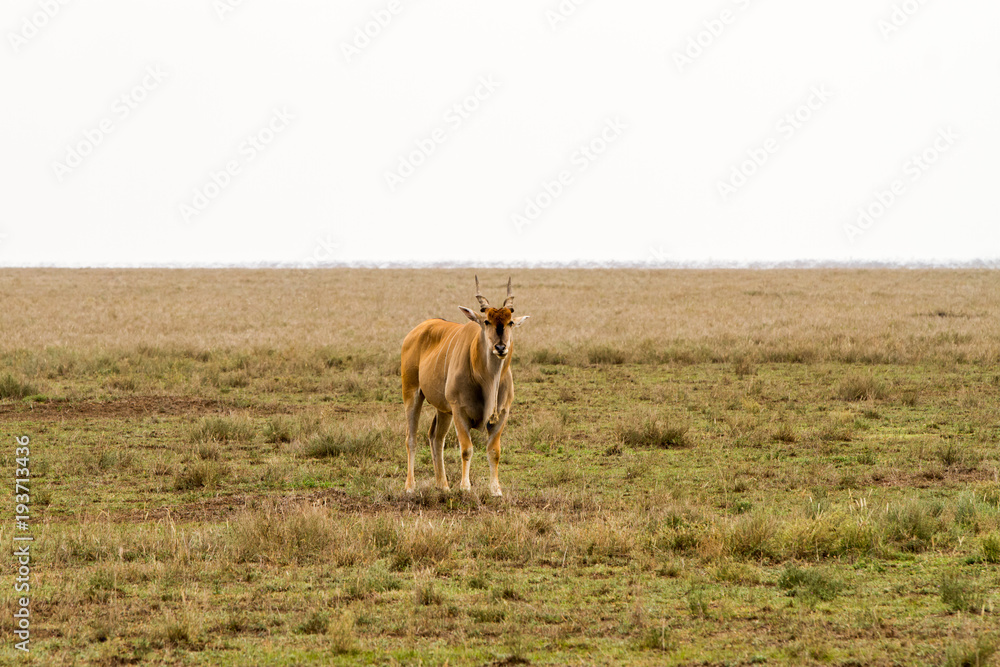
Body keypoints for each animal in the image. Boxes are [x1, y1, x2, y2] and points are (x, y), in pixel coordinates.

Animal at [401, 276, 529, 496]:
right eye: (486, 321)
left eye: (510, 322)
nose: (500, 347)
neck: (487, 380)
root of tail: (415, 331)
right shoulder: (459, 411)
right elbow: (467, 449)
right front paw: (465, 487)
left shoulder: (502, 414)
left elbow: (494, 451)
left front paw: (496, 490)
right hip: (412, 394)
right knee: (411, 438)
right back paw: (410, 486)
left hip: (444, 409)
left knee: (436, 438)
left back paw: (443, 486)